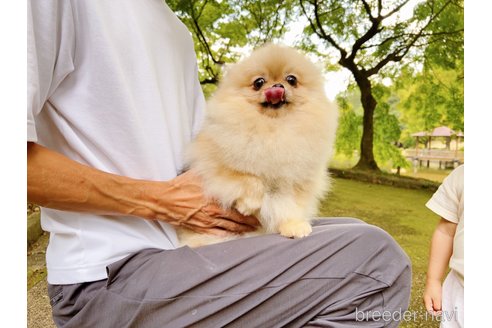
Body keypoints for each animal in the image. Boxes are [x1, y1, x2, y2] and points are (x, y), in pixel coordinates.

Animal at [180, 44, 338, 247]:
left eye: (291, 79)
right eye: (259, 82)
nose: (277, 87)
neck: (273, 128)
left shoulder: (297, 182)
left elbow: (290, 205)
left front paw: (294, 225)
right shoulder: (213, 164)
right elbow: (249, 178)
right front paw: (249, 204)